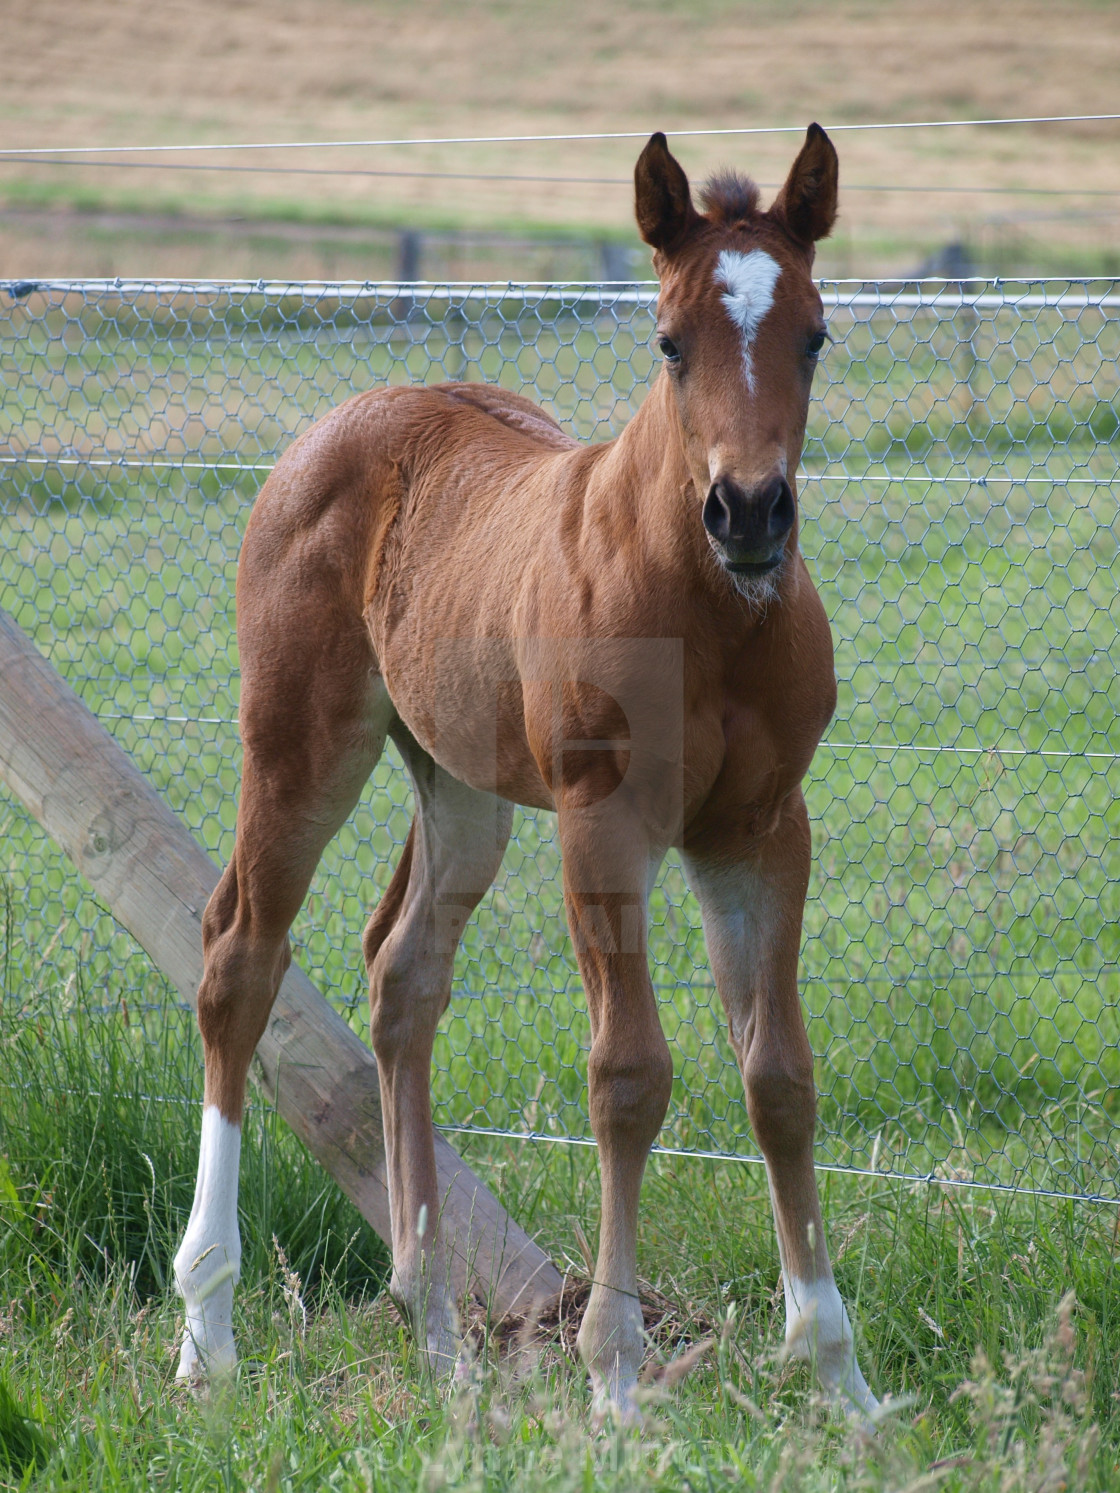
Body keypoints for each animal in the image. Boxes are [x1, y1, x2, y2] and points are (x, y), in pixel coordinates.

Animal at [175, 122, 884, 1415]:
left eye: (814, 333)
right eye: (668, 340)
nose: (750, 510)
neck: (707, 609)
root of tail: (340, 421)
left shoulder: (759, 827)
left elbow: (780, 1078)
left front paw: (843, 1384)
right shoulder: (602, 821)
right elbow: (629, 1073)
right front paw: (613, 1376)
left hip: (460, 785)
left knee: (403, 971)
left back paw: (435, 1331)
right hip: (301, 746)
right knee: (239, 957)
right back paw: (208, 1328)